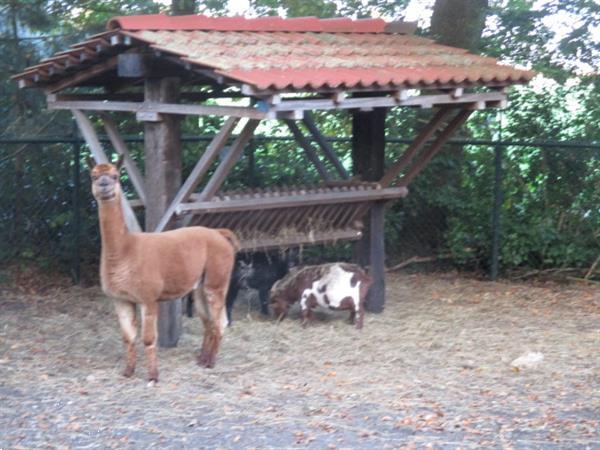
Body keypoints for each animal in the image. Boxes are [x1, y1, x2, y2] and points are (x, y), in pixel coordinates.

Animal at [88, 156, 238, 382]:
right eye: (94, 176)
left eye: (115, 176)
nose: (104, 185)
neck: (125, 252)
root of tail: (219, 234)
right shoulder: (120, 299)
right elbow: (128, 338)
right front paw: (128, 372)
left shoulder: (148, 298)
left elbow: (148, 339)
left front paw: (153, 376)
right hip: (201, 285)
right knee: (209, 321)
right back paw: (202, 359)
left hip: (217, 279)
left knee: (220, 321)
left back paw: (210, 362)